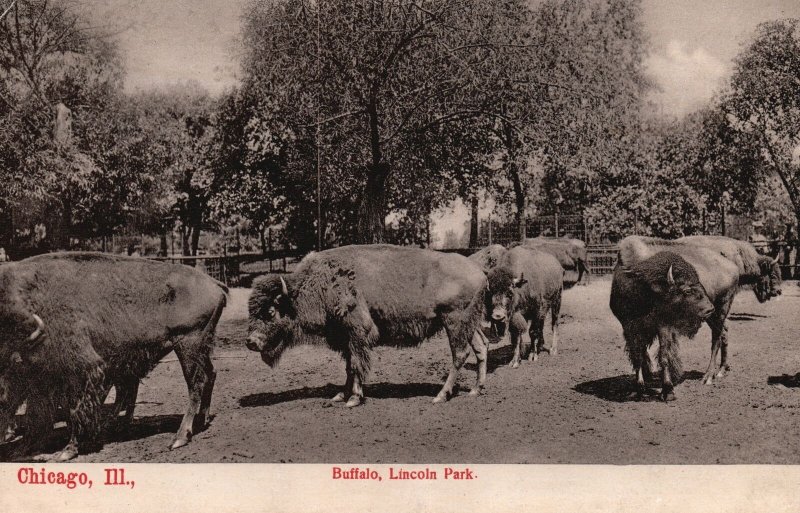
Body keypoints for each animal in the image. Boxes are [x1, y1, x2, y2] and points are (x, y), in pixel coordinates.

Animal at [0, 252, 228, 460]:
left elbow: (74, 410)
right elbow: (37, 413)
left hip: (189, 343)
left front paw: (69, 450)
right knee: (211, 374)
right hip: (201, 346)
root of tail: (214, 283)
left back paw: (179, 438)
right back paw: (202, 420)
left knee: (195, 384)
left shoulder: (82, 370)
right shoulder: (43, 380)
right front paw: (24, 448)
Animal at [247, 244, 490, 408]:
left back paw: (440, 395)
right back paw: (475, 390)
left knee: (460, 354)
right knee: (481, 346)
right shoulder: (345, 338)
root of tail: (479, 271)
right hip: (469, 324)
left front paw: (354, 399)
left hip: (454, 321)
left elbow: (357, 364)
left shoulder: (357, 333)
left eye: (270, 312)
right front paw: (340, 395)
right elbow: (349, 366)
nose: (251, 342)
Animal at [608, 250, 716, 402]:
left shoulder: (663, 326)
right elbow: (637, 357)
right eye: (687, 290)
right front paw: (638, 390)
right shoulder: (630, 328)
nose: (710, 309)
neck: (648, 295)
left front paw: (668, 391)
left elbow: (664, 356)